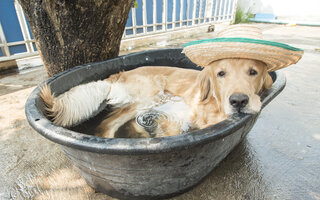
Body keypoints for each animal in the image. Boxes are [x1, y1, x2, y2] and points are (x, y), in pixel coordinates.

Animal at [40, 58, 272, 138]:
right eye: (220, 73)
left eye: (253, 72)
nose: (239, 101)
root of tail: (119, 74)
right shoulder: (177, 116)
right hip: (148, 96)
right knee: (107, 125)